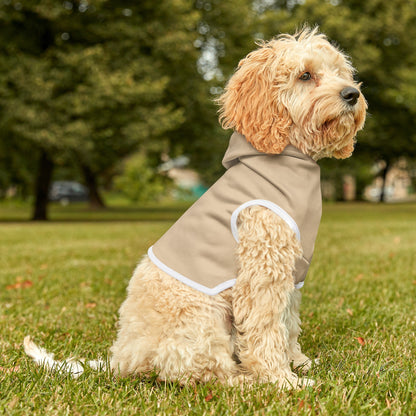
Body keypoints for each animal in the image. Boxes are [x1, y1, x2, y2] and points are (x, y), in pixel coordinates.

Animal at [24, 27, 366, 388]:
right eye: (305, 75)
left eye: (340, 72)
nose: (352, 94)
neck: (287, 157)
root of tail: (121, 358)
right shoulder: (262, 271)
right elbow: (266, 329)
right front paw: (281, 380)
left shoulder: (291, 273)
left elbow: (288, 324)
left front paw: (299, 363)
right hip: (202, 317)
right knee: (199, 371)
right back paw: (244, 380)